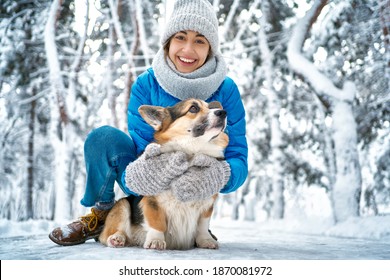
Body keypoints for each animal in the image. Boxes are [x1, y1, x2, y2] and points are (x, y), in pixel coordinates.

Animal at [97, 98, 230, 249]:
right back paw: (117, 238)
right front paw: (156, 240)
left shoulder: (206, 205)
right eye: (193, 108)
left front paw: (206, 240)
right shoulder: (152, 202)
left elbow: (202, 225)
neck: (191, 152)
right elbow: (157, 222)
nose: (223, 112)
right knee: (108, 233)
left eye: (211, 107)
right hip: (122, 205)